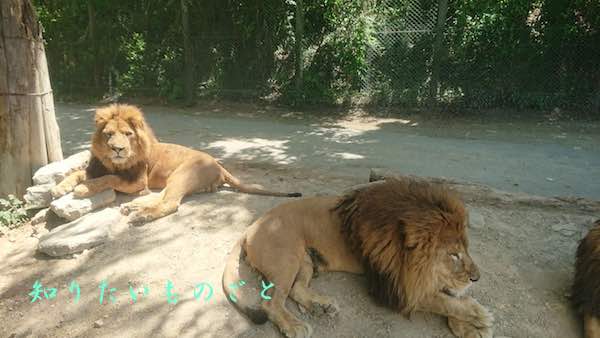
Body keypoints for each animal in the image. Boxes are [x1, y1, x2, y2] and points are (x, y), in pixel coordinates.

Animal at [51, 103, 300, 224]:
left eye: (128, 134)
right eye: (109, 134)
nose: (117, 149)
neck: (113, 161)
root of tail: (218, 164)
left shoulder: (137, 181)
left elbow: (108, 178)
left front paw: (82, 189)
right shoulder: (100, 167)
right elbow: (79, 173)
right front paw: (59, 188)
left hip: (182, 175)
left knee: (170, 203)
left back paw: (140, 215)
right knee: (162, 197)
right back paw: (134, 206)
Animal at [223, 178, 494, 336]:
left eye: (466, 250)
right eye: (453, 254)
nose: (477, 278)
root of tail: (250, 227)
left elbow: (445, 293)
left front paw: (469, 328)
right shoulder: (389, 282)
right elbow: (435, 299)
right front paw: (478, 315)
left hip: (305, 261)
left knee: (295, 289)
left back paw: (322, 306)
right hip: (286, 259)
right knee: (271, 303)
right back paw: (295, 326)